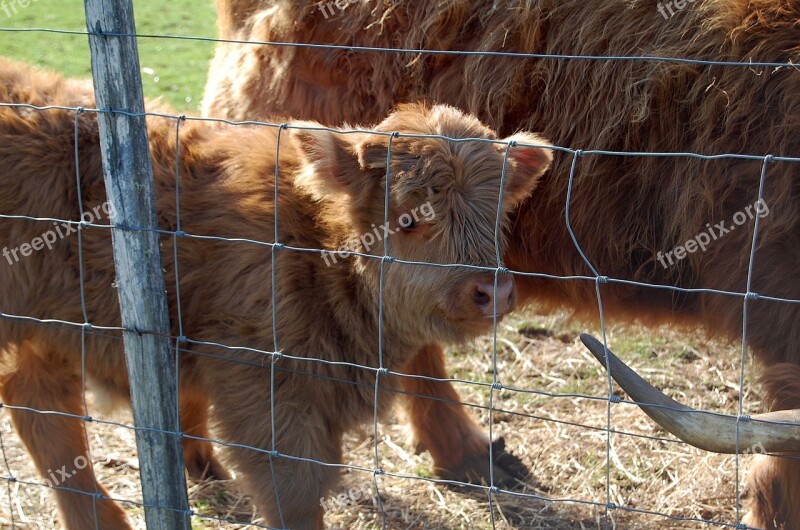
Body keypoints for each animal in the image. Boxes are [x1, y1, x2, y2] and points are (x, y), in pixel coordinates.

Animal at [0, 58, 552, 528]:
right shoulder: (265, 398)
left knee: (38, 403)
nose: (492, 290)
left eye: (498, 213)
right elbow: (295, 496)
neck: (314, 246)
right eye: (408, 219)